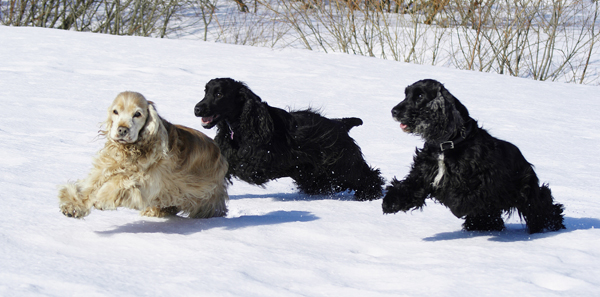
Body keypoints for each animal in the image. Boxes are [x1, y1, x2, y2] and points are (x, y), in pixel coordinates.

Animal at [59, 90, 227, 217]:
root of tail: (220, 152)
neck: (130, 150)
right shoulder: (106, 166)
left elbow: (121, 179)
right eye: (115, 111)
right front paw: (73, 205)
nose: (122, 129)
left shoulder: (149, 181)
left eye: (137, 114)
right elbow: (90, 186)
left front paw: (102, 198)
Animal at [382, 79, 564, 234]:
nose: (394, 111)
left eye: (419, 96)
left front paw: (454, 205)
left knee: (541, 204)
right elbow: (409, 188)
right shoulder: (423, 174)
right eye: (406, 94)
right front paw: (389, 203)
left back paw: (551, 225)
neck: (448, 144)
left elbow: (458, 198)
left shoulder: (477, 185)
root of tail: (525, 160)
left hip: (526, 191)